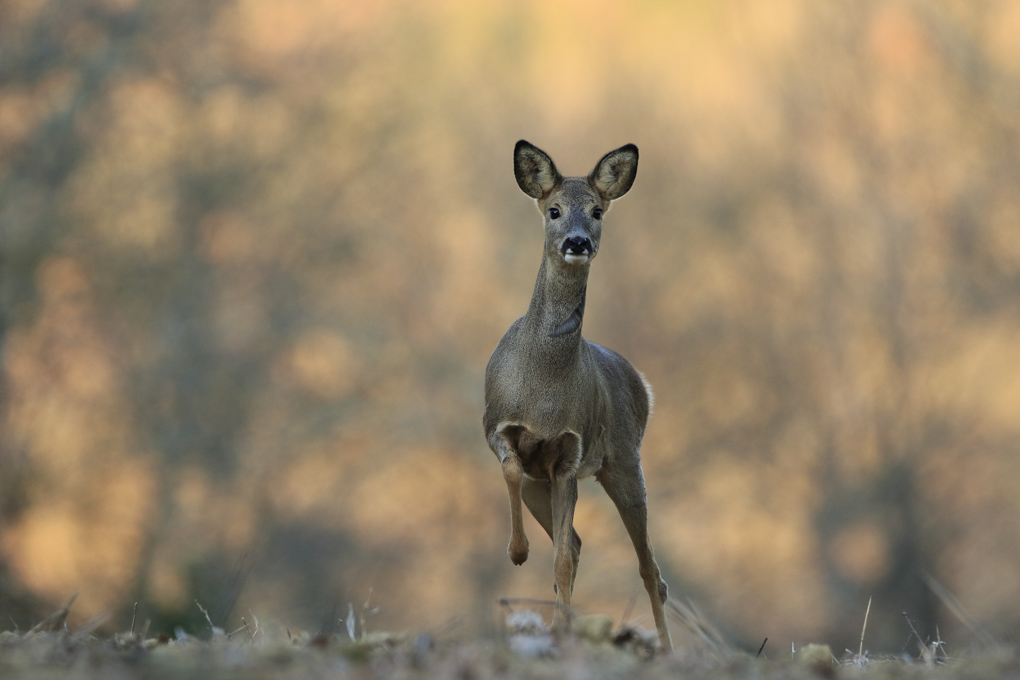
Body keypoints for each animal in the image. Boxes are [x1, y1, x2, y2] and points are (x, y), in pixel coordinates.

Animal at [483, 139, 673, 652]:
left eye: (596, 211)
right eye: (553, 210)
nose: (577, 242)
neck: (544, 389)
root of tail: (643, 385)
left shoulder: (570, 454)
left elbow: (564, 557)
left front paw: (521, 556)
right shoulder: (496, 428)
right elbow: (511, 469)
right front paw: (517, 551)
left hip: (624, 461)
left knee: (649, 569)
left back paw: (665, 650)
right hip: (546, 483)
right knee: (581, 543)